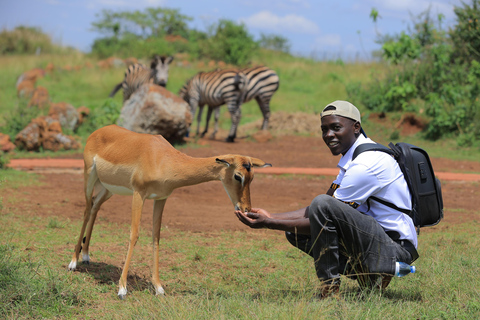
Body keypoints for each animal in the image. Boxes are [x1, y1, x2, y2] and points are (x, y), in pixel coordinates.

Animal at [66, 125, 270, 300]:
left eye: (252, 177)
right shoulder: (139, 194)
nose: (246, 209)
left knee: (95, 206)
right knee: (86, 210)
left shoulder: (161, 198)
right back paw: (73, 262)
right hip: (89, 177)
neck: (163, 158)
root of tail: (99, 131)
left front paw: (159, 288)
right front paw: (122, 289)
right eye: (238, 176)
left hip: (108, 189)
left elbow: (156, 236)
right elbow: (134, 234)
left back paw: (86, 256)